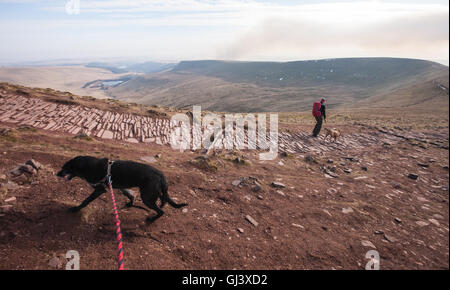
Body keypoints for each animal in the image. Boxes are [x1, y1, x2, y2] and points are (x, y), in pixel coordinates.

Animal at [56, 156, 186, 222]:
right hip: (151, 192)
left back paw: (152, 219)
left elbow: (85, 201)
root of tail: (160, 174)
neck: (86, 166)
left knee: (161, 211)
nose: (57, 174)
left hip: (146, 197)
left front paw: (76, 209)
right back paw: (162, 205)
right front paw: (130, 203)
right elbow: (129, 194)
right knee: (163, 199)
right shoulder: (119, 186)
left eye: (64, 168)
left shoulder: (99, 189)